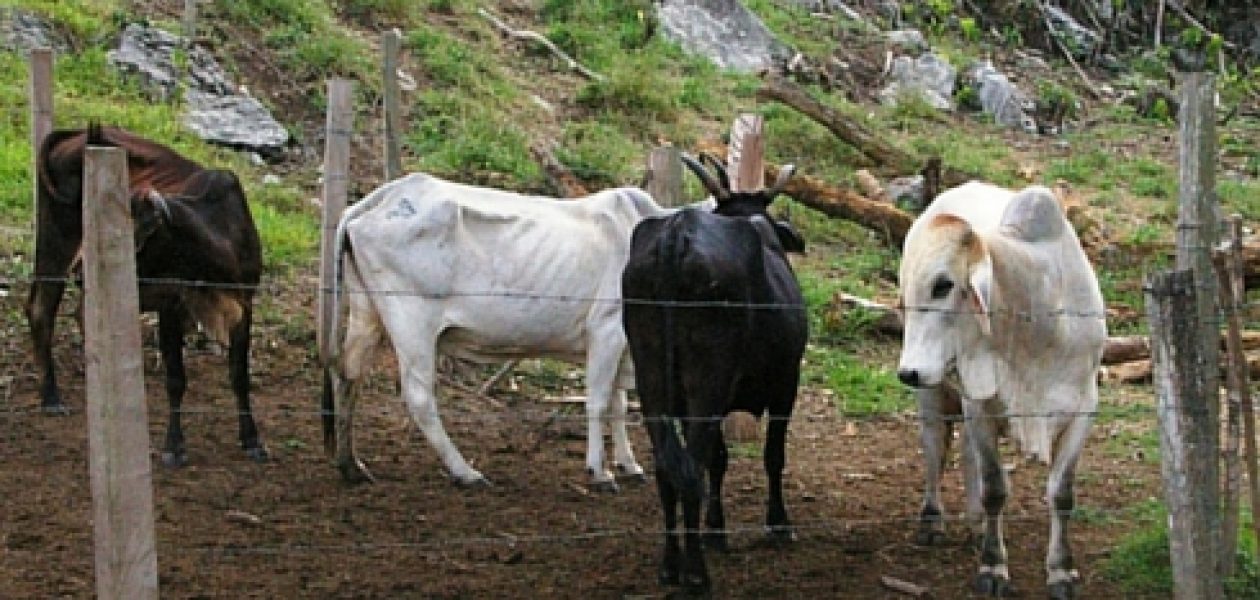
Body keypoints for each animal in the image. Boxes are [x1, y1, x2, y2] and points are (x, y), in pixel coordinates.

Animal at [24, 124, 267, 466]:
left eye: (138, 236)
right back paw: (51, 397)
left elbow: (239, 376)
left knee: (81, 312)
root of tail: (75, 132)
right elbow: (176, 379)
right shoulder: (172, 306)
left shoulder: (244, 305)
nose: (83, 271)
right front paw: (174, 446)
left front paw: (252, 440)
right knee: (41, 309)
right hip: (55, 243)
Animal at [325, 171, 680, 489]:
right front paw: (600, 472)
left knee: (348, 376)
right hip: (413, 324)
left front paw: (629, 465)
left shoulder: (623, 344)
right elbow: (600, 400)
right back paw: (466, 473)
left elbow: (619, 402)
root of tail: (387, 196)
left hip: (366, 315)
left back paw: (351, 465)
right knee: (419, 398)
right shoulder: (607, 329)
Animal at [619, 152, 806, 592]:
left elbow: (718, 458)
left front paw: (716, 529)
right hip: (707, 381)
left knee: (669, 468)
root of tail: (676, 234)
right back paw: (696, 574)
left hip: (653, 380)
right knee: (689, 471)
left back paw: (671, 565)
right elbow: (772, 455)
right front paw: (778, 523)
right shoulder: (786, 383)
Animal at [897, 180, 1103, 597]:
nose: (908, 371)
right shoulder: (979, 406)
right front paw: (993, 567)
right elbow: (995, 487)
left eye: (944, 285)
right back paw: (933, 520)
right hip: (934, 394)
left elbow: (1061, 493)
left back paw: (975, 523)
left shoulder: (1084, 407)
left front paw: (1062, 570)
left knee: (964, 452)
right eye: (907, 291)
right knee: (935, 448)